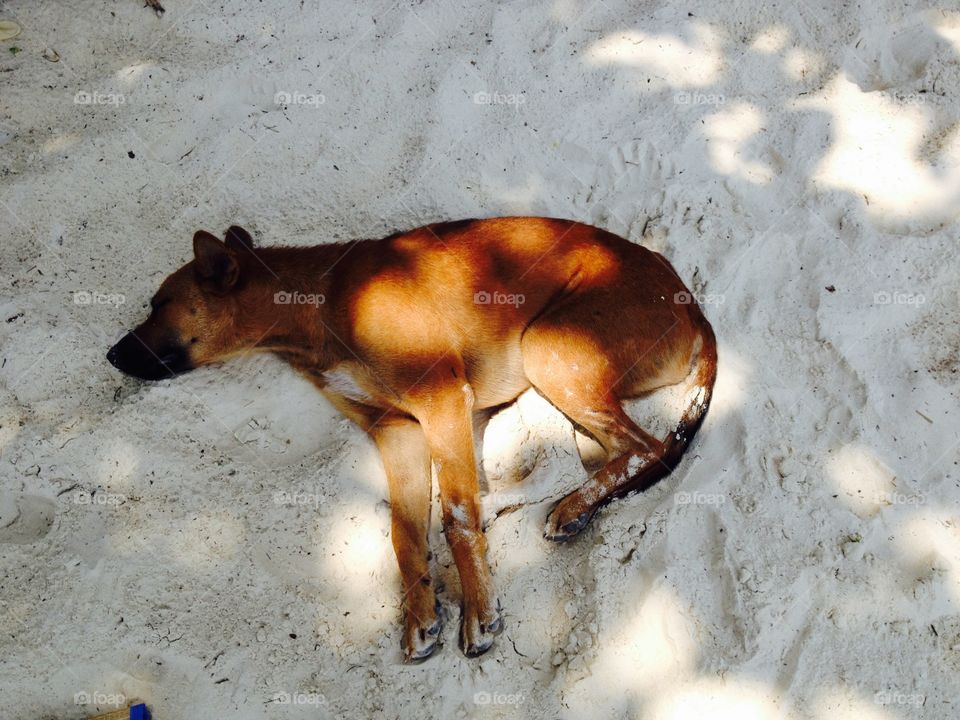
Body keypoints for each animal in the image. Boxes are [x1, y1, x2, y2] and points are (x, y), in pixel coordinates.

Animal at [109, 217, 716, 660]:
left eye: (158, 304)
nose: (110, 356)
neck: (318, 304)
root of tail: (693, 306)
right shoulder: (395, 429)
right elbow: (405, 534)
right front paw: (422, 617)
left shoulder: (440, 400)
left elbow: (455, 516)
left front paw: (478, 615)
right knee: (608, 455)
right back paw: (564, 506)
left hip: (545, 348)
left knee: (646, 447)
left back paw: (566, 507)